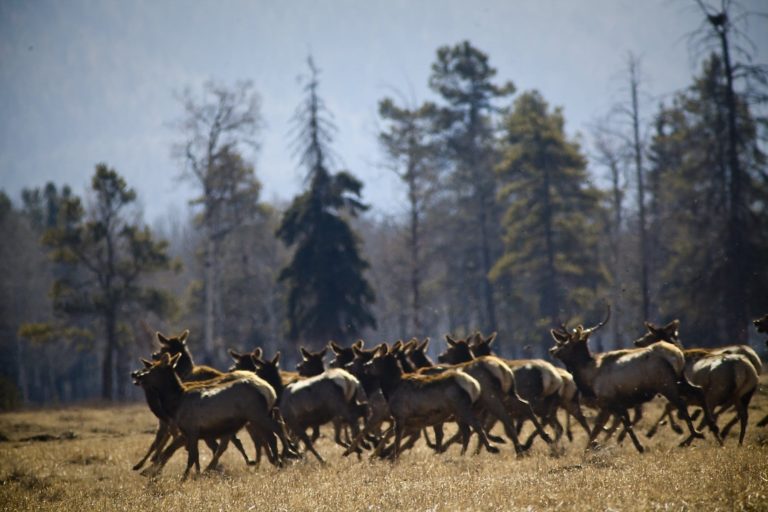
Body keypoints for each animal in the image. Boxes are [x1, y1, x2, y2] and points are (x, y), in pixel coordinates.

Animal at [132, 352, 292, 480]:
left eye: (153, 369)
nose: (138, 376)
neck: (176, 403)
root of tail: (270, 390)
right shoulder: (190, 433)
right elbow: (188, 454)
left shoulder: (191, 429)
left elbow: (190, 456)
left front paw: (183, 478)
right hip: (257, 417)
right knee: (272, 435)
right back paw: (279, 460)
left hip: (257, 414)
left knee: (277, 429)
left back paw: (287, 453)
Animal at [364, 344, 498, 460]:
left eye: (375, 359)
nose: (365, 365)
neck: (391, 388)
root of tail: (475, 385)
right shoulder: (407, 421)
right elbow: (388, 436)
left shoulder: (400, 416)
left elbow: (397, 441)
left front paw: (392, 460)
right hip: (457, 413)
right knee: (467, 431)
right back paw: (462, 455)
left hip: (462, 408)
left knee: (477, 426)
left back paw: (491, 448)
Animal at [544, 306, 712, 450]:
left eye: (565, 344)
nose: (552, 351)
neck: (589, 377)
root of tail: (676, 355)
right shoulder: (617, 404)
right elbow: (622, 424)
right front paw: (638, 446)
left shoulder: (608, 401)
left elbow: (600, 429)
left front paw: (589, 451)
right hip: (681, 379)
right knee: (697, 390)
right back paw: (711, 426)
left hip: (666, 384)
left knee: (681, 403)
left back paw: (695, 433)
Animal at [632, 320, 760, 444]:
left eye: (649, 334)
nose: (637, 342)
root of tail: (743, 369)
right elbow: (671, 408)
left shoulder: (685, 394)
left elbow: (669, 407)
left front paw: (673, 429)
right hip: (743, 395)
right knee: (742, 416)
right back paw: (739, 442)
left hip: (715, 393)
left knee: (709, 417)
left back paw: (688, 441)